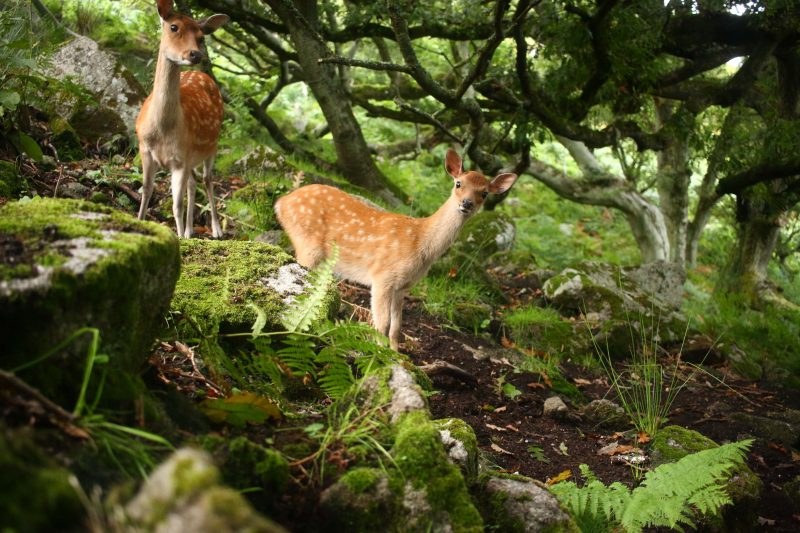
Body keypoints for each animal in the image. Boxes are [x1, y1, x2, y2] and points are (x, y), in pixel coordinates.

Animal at [135, 0, 229, 238]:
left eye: (201, 36)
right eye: (174, 27)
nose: (195, 54)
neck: (162, 129)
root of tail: (203, 74)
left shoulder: (181, 158)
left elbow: (176, 204)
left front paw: (178, 237)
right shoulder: (145, 149)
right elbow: (146, 191)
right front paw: (139, 222)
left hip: (212, 146)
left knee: (207, 179)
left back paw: (216, 230)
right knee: (193, 184)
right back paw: (189, 231)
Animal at [274, 149, 518, 351]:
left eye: (484, 193)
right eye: (458, 183)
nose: (467, 203)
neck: (421, 244)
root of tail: (281, 203)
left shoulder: (403, 287)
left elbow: (396, 327)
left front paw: (397, 354)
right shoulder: (382, 276)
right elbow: (381, 324)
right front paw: (377, 356)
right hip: (308, 245)